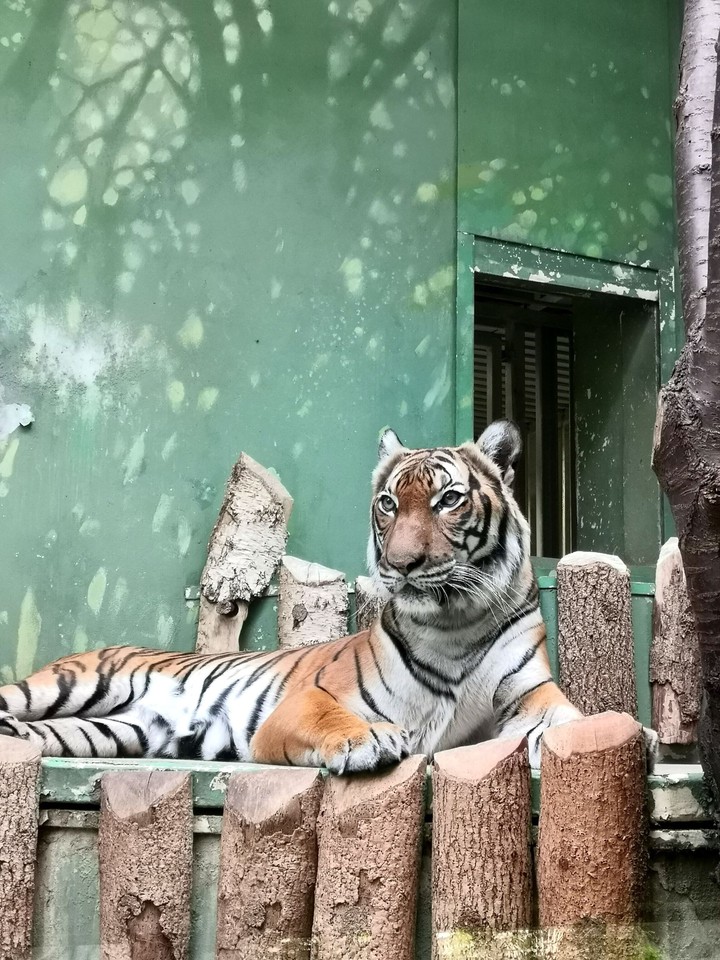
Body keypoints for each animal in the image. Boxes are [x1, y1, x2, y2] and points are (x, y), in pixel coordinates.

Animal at [0, 420, 584, 772]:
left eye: (449, 500)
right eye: (389, 503)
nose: (400, 565)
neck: (455, 624)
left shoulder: (530, 696)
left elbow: (570, 722)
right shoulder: (306, 701)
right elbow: (334, 718)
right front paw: (367, 740)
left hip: (109, 731)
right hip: (69, 685)